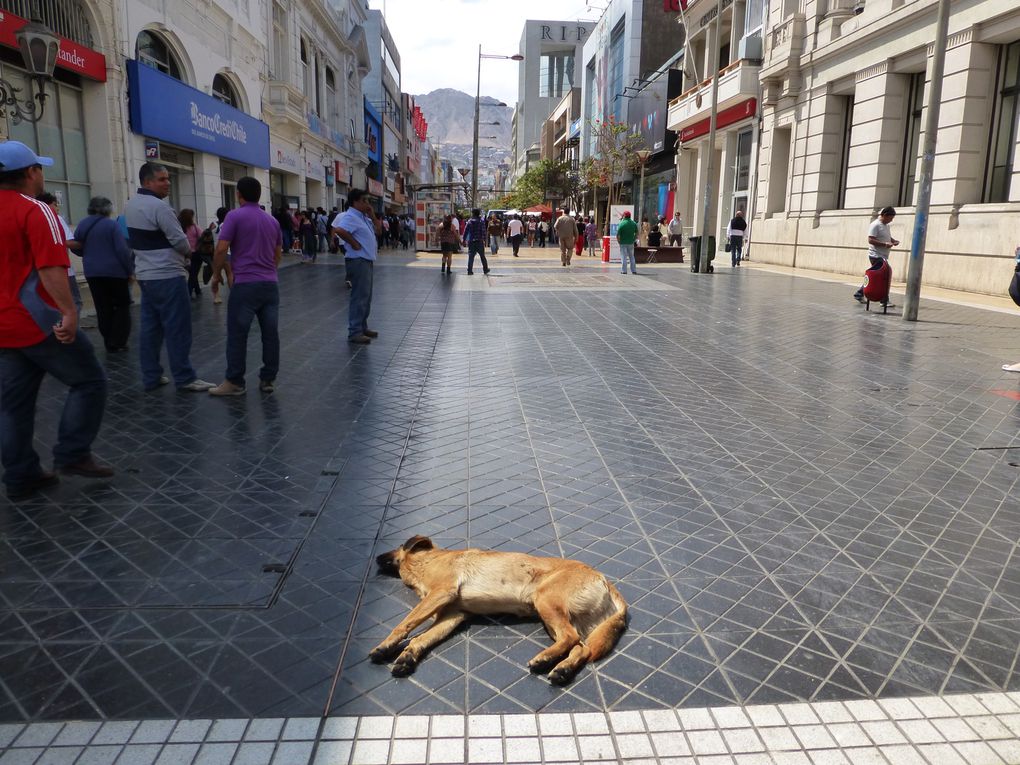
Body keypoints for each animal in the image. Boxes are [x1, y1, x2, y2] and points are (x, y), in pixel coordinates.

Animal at [371, 534, 624, 685]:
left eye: (396, 546)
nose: (375, 557)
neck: (425, 562)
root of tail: (603, 579)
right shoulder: (452, 615)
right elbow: (422, 638)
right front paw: (408, 656)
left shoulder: (441, 592)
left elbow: (404, 625)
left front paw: (384, 646)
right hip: (560, 617)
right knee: (580, 647)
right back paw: (563, 668)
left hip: (546, 601)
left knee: (570, 638)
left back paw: (544, 659)